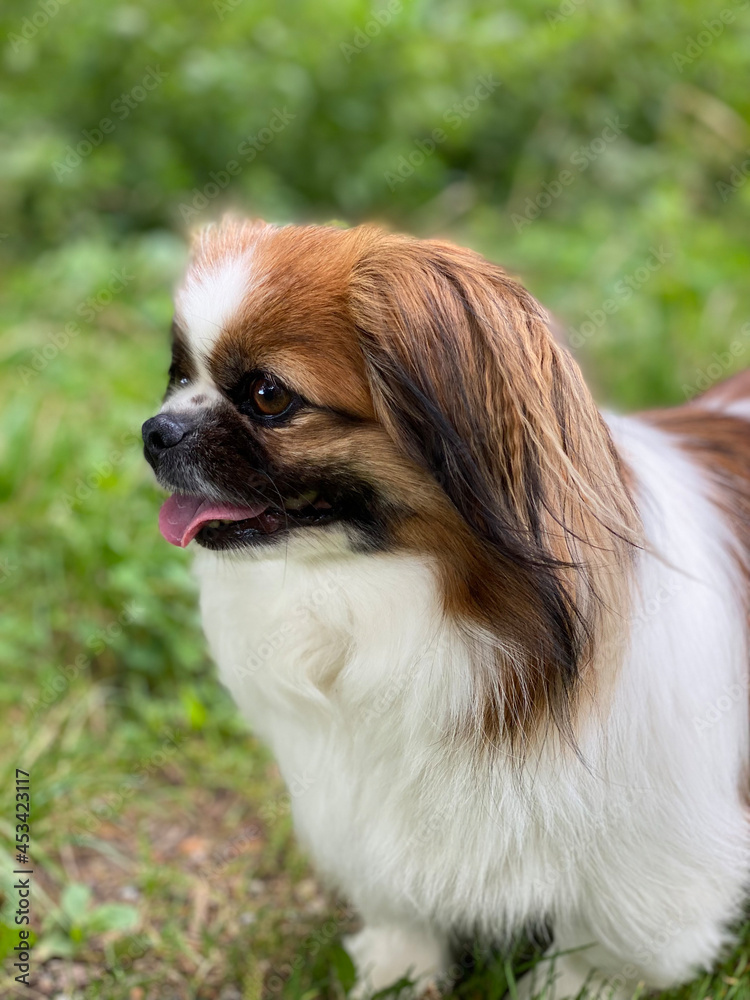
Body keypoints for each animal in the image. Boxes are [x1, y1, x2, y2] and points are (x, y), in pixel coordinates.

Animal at [142, 221, 750, 1000]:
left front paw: (568, 987)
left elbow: (602, 944)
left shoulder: (651, 847)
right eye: (177, 374)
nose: (155, 432)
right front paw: (399, 967)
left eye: (269, 396)